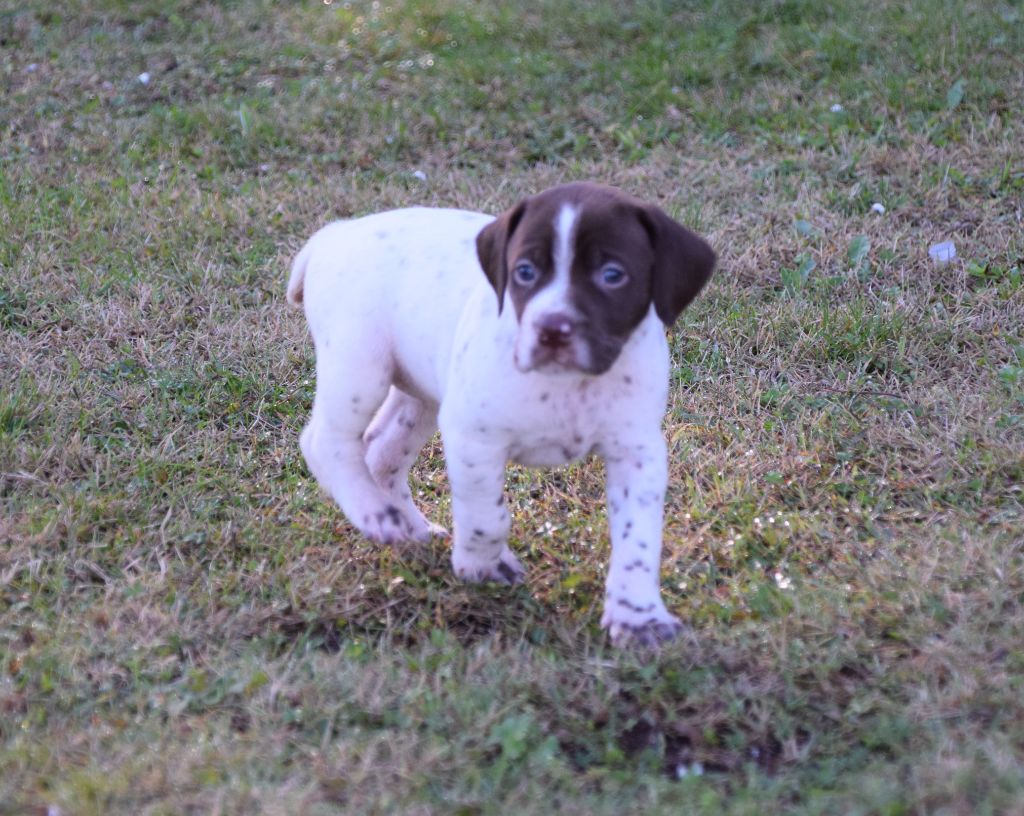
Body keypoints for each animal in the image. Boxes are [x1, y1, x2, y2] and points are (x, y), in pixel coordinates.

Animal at [284, 183, 716, 642]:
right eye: (524, 271)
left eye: (613, 275)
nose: (552, 329)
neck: (567, 385)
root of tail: (336, 233)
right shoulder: (474, 437)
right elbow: (487, 516)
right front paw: (482, 566)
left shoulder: (637, 451)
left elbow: (638, 539)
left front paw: (639, 617)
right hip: (360, 364)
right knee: (324, 441)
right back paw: (375, 513)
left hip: (421, 392)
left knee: (381, 451)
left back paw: (409, 526)